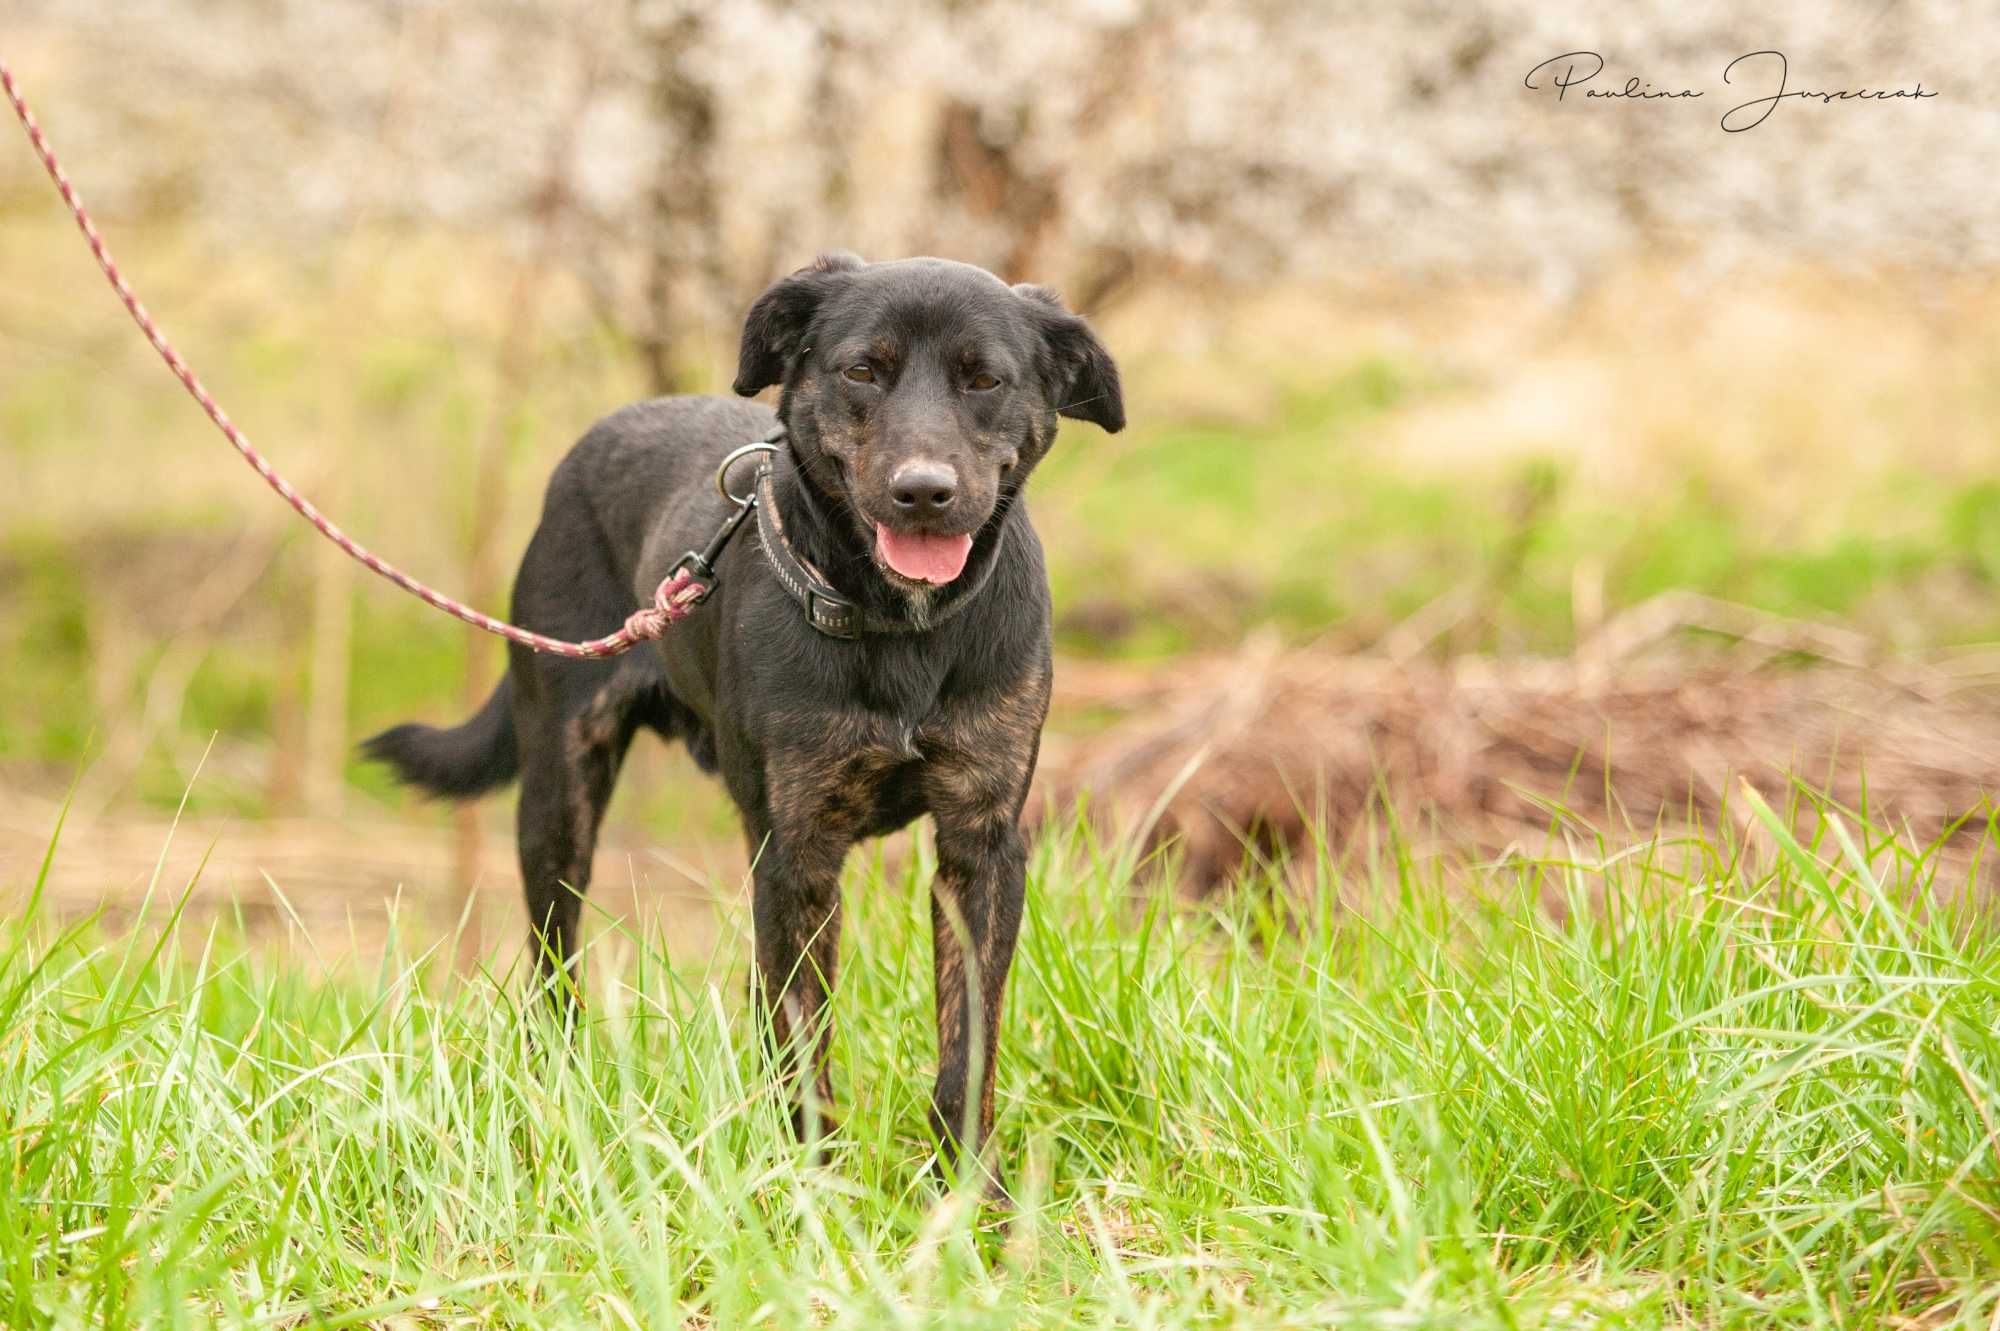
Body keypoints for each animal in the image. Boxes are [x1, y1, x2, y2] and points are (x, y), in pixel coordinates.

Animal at [368, 253, 1128, 1175]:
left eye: (985, 379)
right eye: (862, 370)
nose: (923, 492)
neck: (899, 628)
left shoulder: (981, 846)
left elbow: (968, 1036)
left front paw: (969, 1188)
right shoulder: (794, 849)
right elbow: (801, 1034)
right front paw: (812, 1186)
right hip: (557, 792)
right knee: (554, 958)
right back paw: (561, 1087)